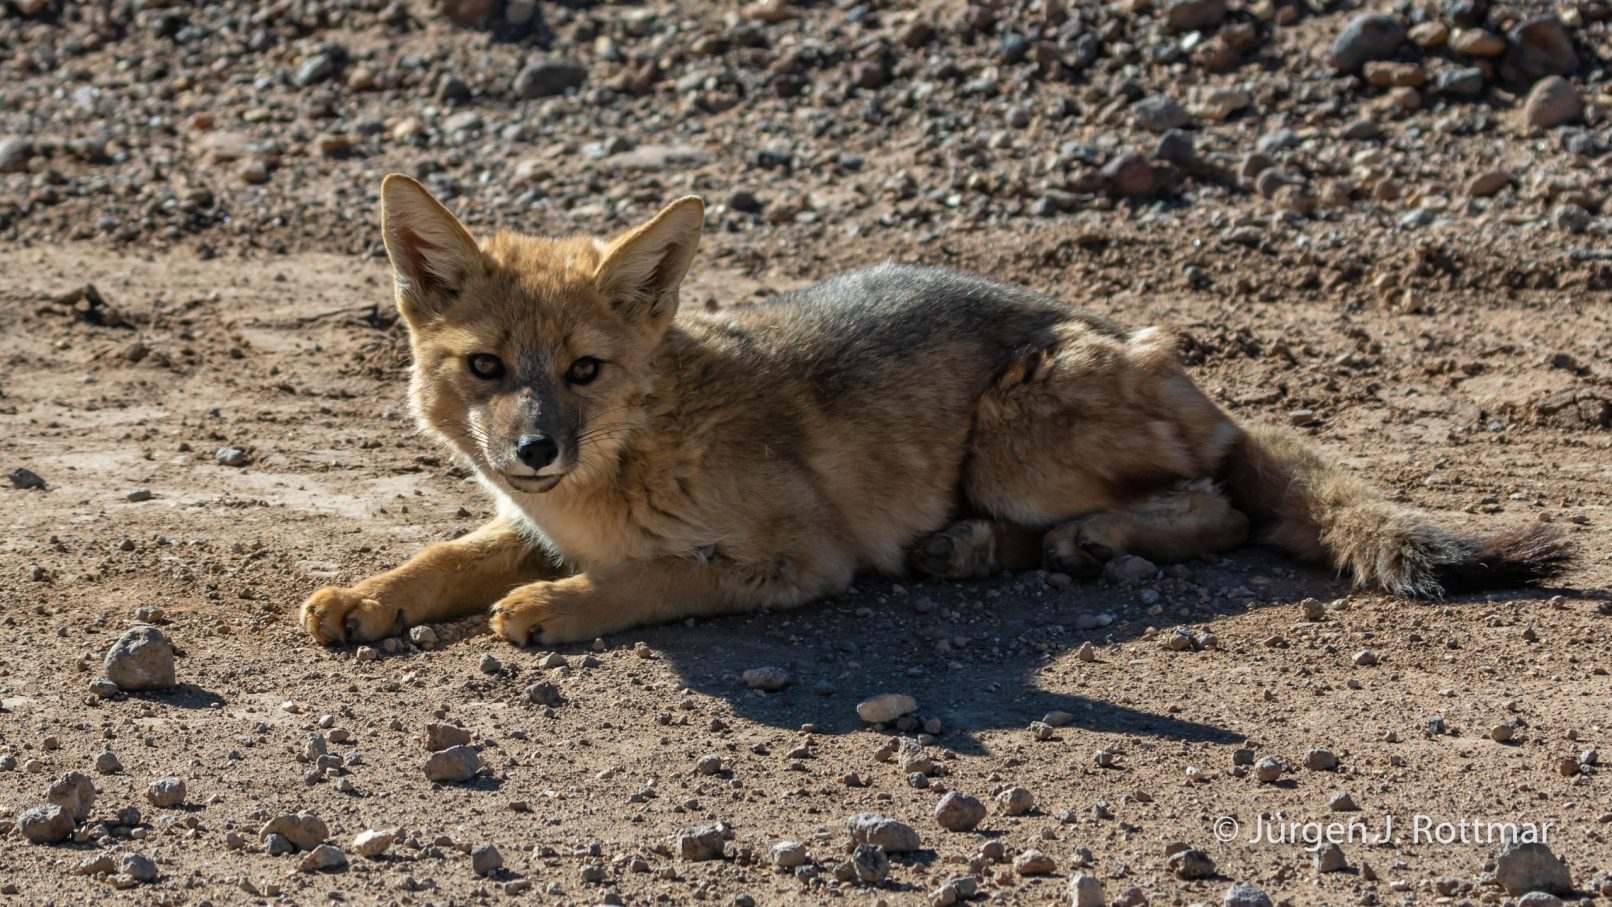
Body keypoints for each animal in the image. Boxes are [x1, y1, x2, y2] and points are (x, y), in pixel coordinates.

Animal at [300, 174, 1572, 647]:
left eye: (584, 370)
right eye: (485, 367)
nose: (532, 447)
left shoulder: (799, 557)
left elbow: (649, 581)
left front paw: (552, 608)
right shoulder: (525, 516)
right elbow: (442, 556)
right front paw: (364, 597)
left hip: (1017, 444)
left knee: (1217, 502)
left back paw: (1078, 541)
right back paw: (969, 549)